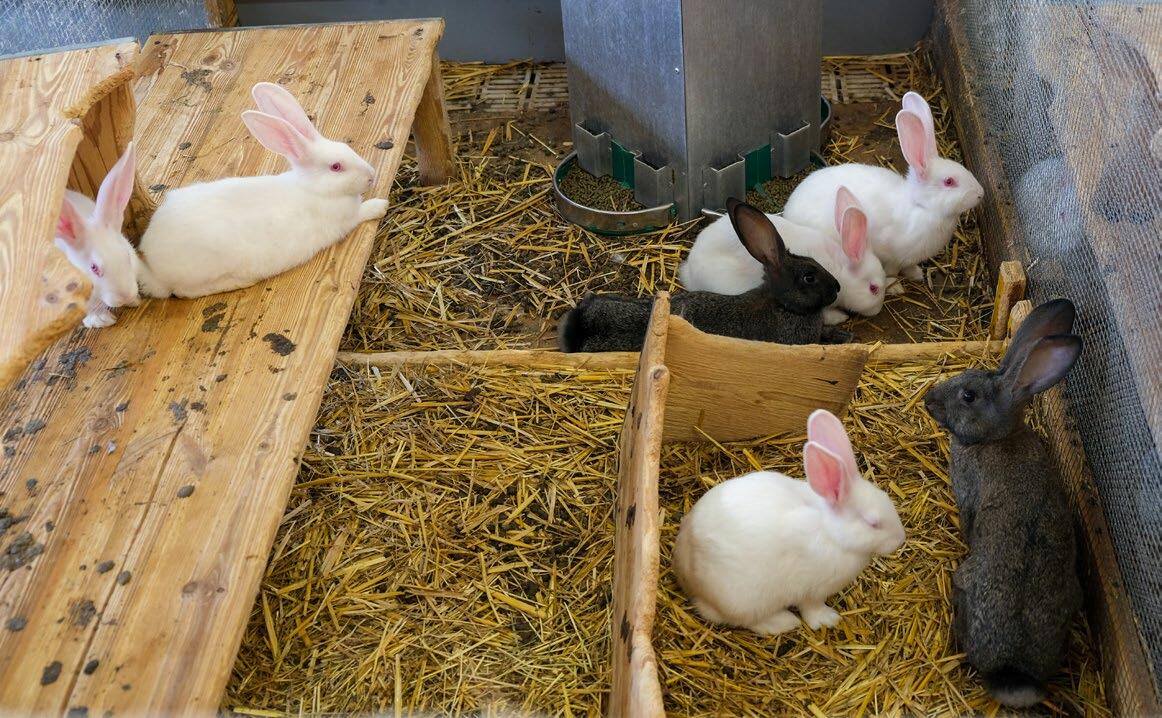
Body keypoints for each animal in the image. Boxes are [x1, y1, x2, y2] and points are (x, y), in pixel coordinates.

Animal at [136, 82, 390, 299]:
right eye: (336, 167)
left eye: (347, 147)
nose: (371, 176)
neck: (313, 188)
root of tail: (153, 267)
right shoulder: (346, 220)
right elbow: (363, 212)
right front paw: (381, 205)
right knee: (183, 292)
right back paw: (239, 282)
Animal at [672, 409, 906, 635]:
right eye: (873, 523)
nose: (900, 539)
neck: (831, 533)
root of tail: (686, 574)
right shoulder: (812, 589)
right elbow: (812, 607)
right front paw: (828, 619)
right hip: (746, 599)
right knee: (740, 619)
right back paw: (783, 622)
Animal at [782, 91, 984, 290]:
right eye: (949, 181)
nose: (980, 194)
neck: (920, 206)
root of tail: (788, 208)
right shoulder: (893, 255)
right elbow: (893, 271)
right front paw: (895, 287)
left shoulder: (909, 258)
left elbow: (909, 267)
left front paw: (917, 274)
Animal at [923, 298, 1084, 708]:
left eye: (968, 396)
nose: (930, 400)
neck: (995, 438)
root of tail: (1013, 673)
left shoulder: (967, 495)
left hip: (965, 584)